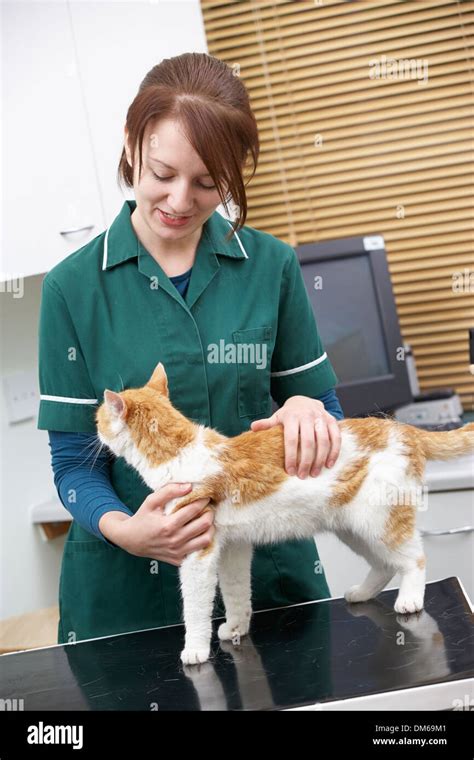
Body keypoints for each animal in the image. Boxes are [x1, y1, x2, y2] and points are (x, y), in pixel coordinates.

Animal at [96, 360, 474, 664]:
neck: (178, 453)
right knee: (384, 564)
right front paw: (236, 627)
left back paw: (410, 598)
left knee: (414, 558)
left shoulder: (197, 552)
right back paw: (362, 593)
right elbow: (236, 592)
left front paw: (195, 649)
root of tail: (401, 428)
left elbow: (195, 607)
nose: (94, 428)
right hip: (352, 527)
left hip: (378, 521)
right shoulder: (233, 547)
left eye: (99, 418)